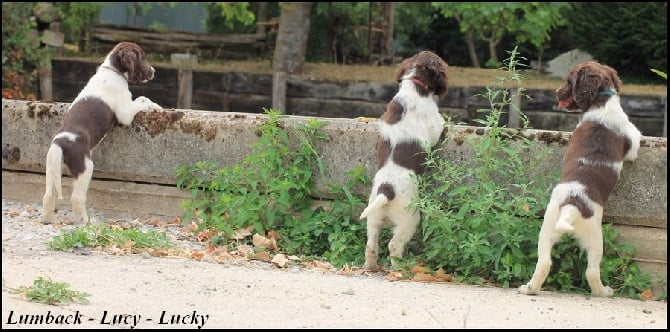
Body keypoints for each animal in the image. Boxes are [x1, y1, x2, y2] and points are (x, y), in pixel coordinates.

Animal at [42, 40, 163, 223]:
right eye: (143, 57)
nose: (154, 71)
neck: (113, 71)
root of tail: (60, 143)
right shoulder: (125, 113)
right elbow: (143, 99)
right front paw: (156, 106)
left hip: (52, 166)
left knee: (48, 194)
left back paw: (48, 219)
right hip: (85, 167)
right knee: (77, 197)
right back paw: (86, 222)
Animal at [360, 50, 448, 272]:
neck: (414, 86)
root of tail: (386, 189)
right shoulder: (435, 125)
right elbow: (441, 127)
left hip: (373, 214)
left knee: (371, 243)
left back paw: (371, 266)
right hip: (410, 218)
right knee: (394, 245)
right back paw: (400, 268)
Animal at [524, 61, 644, 296]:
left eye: (568, 81)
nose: (556, 92)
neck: (601, 101)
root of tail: (573, 203)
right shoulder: (632, 141)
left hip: (548, 225)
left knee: (544, 262)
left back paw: (529, 288)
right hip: (595, 237)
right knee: (592, 271)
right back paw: (604, 292)